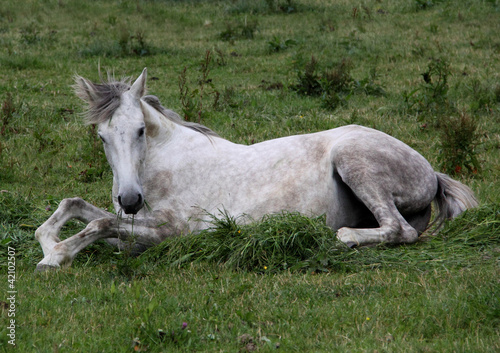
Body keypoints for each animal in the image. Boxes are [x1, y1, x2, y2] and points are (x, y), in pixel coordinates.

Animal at [34, 69, 476, 270]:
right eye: (102, 137)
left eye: (141, 130)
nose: (129, 199)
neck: (162, 166)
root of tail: (432, 173)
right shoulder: (133, 230)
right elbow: (76, 207)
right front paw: (50, 242)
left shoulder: (171, 232)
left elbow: (98, 224)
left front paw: (55, 256)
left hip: (355, 160)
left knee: (398, 230)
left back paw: (344, 237)